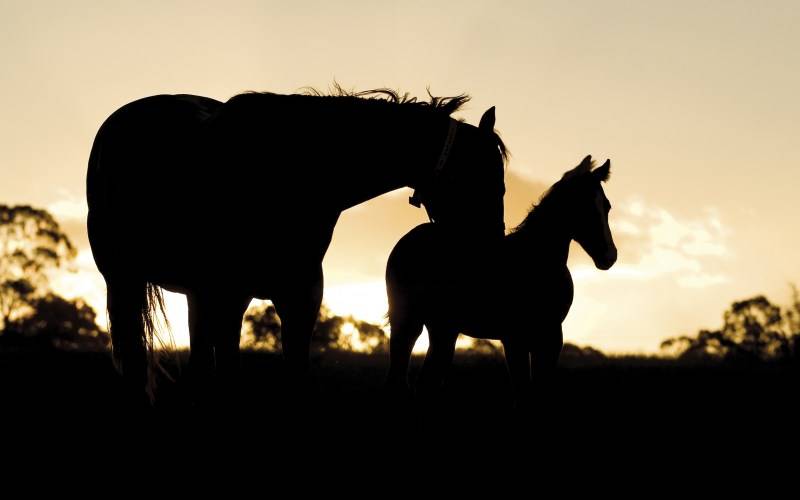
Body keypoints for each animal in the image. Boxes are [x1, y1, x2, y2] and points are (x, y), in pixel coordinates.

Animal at [86, 88, 508, 402]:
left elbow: (295, 375)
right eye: (489, 183)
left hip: (195, 295)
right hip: (126, 282)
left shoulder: (300, 294)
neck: (293, 170)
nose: (490, 251)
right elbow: (228, 376)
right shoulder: (227, 295)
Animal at [385, 155, 616, 405]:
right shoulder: (516, 338)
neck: (537, 260)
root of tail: (407, 241)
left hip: (443, 328)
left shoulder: (550, 337)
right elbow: (524, 389)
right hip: (408, 322)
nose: (609, 256)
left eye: (607, 206)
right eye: (583, 206)